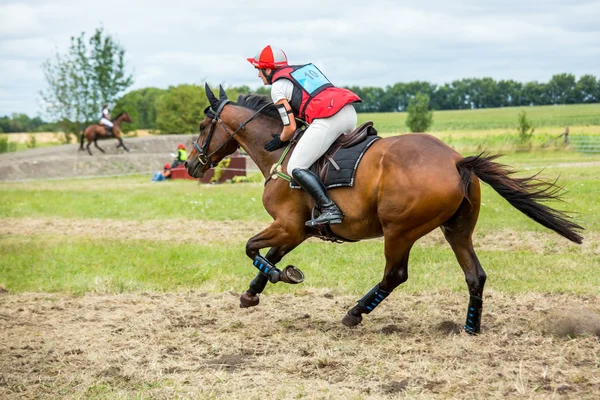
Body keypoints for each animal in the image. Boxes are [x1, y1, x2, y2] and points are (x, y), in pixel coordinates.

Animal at [185, 85, 584, 334]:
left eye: (203, 125)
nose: (191, 165)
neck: (279, 148)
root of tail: (456, 160)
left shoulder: (289, 225)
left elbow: (252, 248)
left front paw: (283, 275)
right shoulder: (296, 228)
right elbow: (268, 253)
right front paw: (253, 292)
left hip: (399, 231)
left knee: (394, 275)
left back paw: (353, 314)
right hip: (457, 230)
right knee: (475, 276)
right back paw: (470, 328)